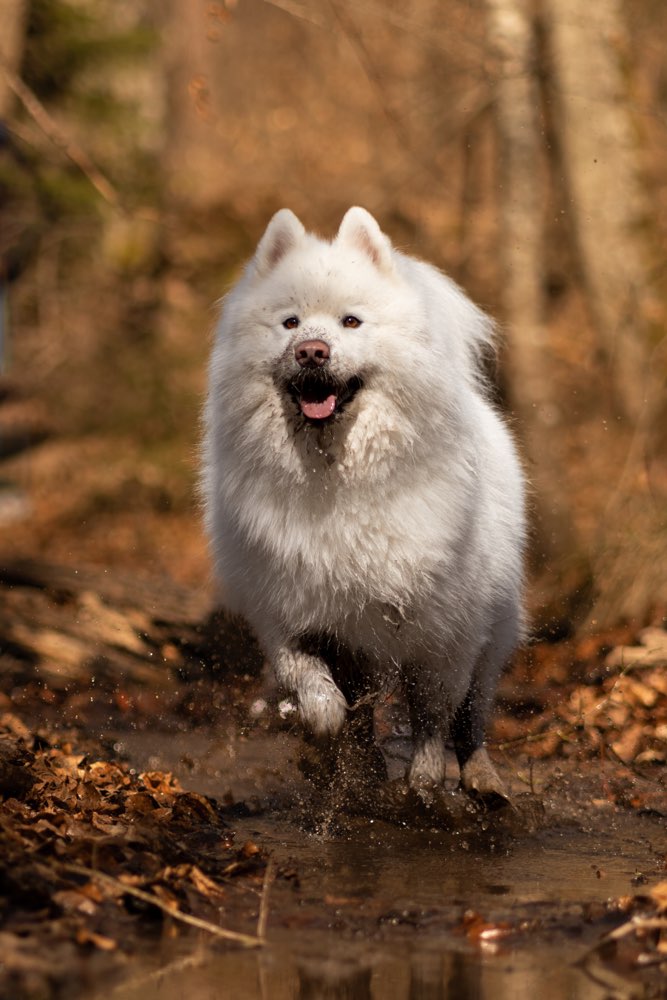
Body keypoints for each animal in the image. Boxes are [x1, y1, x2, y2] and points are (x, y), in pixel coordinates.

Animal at [201, 205, 524, 804]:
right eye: (291, 323)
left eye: (350, 322)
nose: (312, 351)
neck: (334, 477)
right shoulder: (287, 605)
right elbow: (306, 674)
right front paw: (324, 724)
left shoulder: (442, 632)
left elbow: (433, 715)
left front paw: (423, 779)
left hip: (493, 630)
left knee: (471, 715)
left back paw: (482, 780)